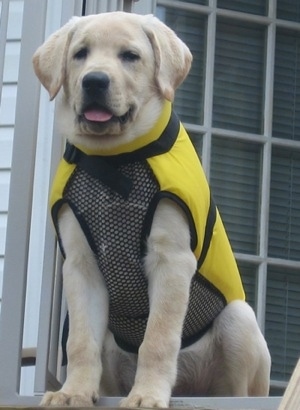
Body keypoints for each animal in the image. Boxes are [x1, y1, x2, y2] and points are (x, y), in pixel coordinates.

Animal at [33, 12, 272, 406]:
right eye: (80, 54)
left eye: (130, 56)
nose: (94, 81)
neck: (114, 161)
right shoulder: (81, 264)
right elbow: (80, 341)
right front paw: (73, 393)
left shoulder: (170, 259)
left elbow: (157, 339)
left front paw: (146, 395)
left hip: (239, 318)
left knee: (234, 391)